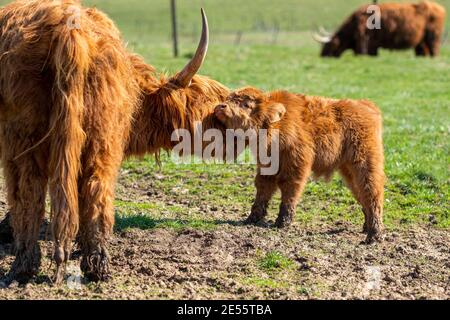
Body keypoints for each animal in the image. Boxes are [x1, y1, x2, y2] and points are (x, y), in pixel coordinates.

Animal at [0, 0, 229, 284]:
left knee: (29, 192)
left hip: (25, 138)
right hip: (100, 135)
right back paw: (94, 265)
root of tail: (70, 26)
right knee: (93, 186)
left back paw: (26, 266)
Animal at [215, 87, 386, 242]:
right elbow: (263, 187)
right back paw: (366, 228)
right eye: (229, 99)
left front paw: (282, 222)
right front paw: (252, 218)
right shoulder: (266, 165)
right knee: (361, 193)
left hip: (366, 163)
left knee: (372, 192)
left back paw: (374, 235)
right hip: (349, 170)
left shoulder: (296, 163)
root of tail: (366, 105)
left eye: (246, 104)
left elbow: (289, 189)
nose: (221, 106)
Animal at [314, 0, 448, 57]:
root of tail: (439, 7)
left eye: (329, 46)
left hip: (433, 37)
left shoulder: (368, 44)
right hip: (421, 41)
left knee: (434, 50)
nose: (322, 56)